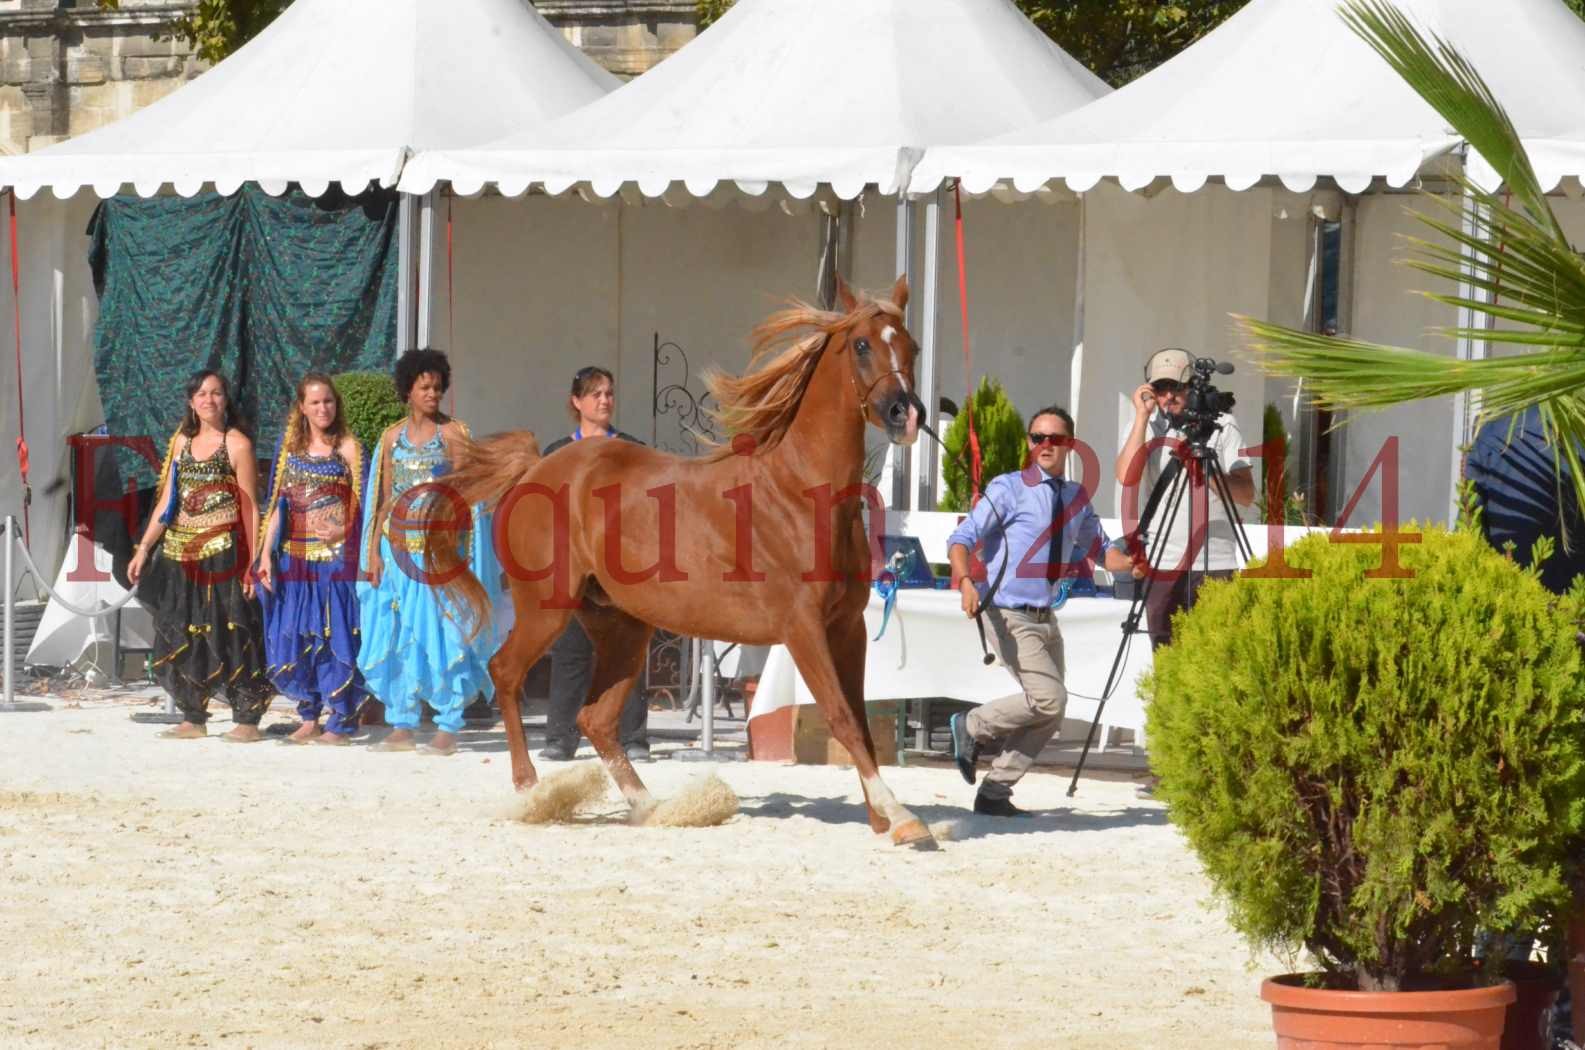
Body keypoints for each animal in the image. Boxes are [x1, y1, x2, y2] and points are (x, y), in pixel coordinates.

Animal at [427, 275, 931, 850]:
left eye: (912, 345)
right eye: (863, 345)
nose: (907, 414)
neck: (802, 492)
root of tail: (538, 467)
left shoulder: (845, 628)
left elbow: (861, 723)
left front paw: (881, 817)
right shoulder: (802, 628)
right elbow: (843, 717)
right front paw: (900, 816)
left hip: (622, 626)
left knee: (595, 717)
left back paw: (652, 805)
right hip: (546, 610)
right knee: (505, 673)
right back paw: (530, 790)